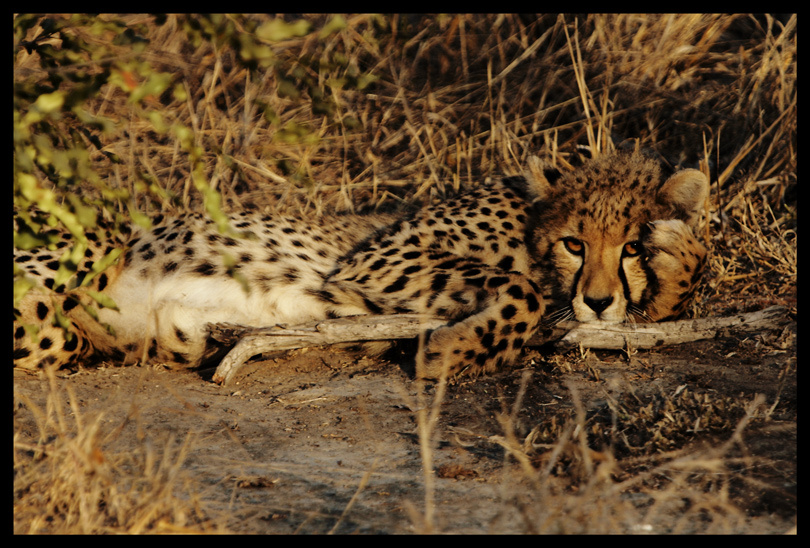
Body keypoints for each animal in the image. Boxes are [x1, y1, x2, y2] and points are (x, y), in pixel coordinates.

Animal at [13, 151, 709, 380]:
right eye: (574, 243)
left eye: (630, 250)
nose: (597, 299)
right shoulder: (379, 261)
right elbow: (519, 289)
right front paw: (449, 355)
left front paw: (677, 261)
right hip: (88, 252)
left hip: (58, 336)